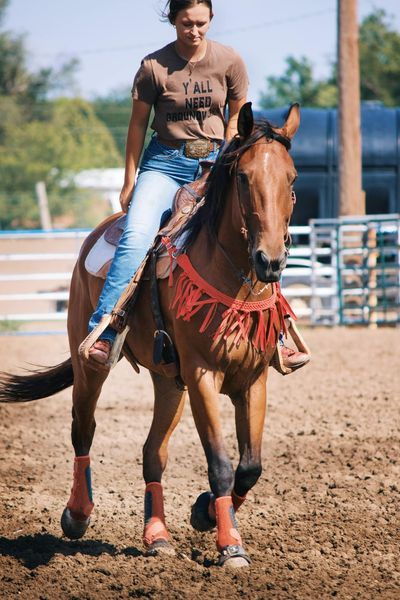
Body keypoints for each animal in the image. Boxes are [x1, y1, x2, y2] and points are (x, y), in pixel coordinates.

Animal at [0, 102, 300, 568]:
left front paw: (204, 513)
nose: (269, 261)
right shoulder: (202, 375)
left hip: (168, 381)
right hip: (91, 366)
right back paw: (77, 516)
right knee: (83, 429)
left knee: (152, 452)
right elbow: (221, 463)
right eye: (244, 177)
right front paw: (230, 545)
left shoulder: (253, 378)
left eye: (292, 178)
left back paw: (157, 535)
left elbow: (250, 467)